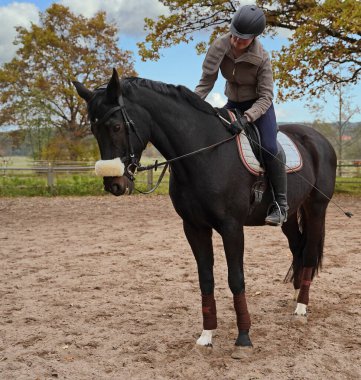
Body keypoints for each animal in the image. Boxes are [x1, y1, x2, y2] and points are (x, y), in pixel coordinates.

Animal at [73, 69, 334, 360]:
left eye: (116, 127)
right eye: (94, 129)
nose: (114, 185)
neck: (205, 152)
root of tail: (318, 139)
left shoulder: (232, 228)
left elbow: (236, 280)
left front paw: (243, 338)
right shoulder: (194, 227)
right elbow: (205, 279)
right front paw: (206, 335)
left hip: (316, 209)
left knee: (308, 252)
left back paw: (301, 308)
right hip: (289, 216)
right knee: (297, 247)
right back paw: (296, 296)